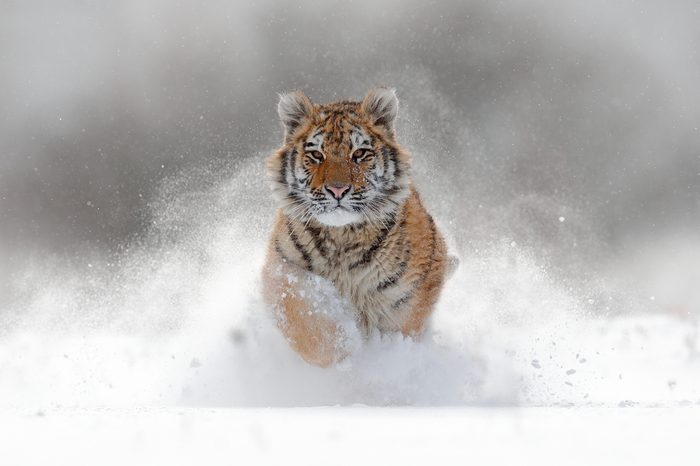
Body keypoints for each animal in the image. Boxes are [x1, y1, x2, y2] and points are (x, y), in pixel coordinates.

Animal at [262, 88, 454, 368]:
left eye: (360, 153)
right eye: (317, 155)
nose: (337, 190)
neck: (342, 237)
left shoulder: (409, 294)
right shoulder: (282, 270)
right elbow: (307, 323)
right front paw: (344, 351)